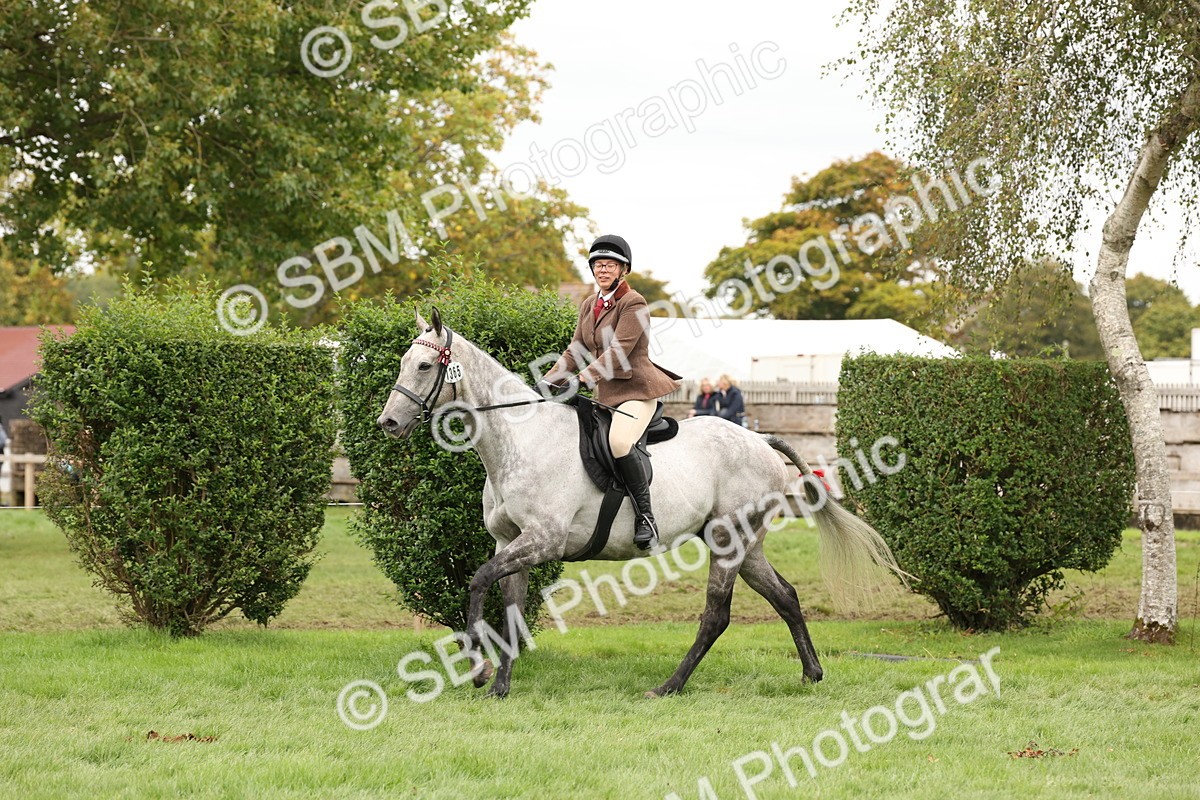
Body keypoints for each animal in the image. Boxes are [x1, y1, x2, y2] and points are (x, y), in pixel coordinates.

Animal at [377, 308, 905, 698]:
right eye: (404, 362)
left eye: (424, 366)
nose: (388, 424)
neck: (520, 439)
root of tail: (759, 440)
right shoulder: (511, 542)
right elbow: (509, 607)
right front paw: (500, 685)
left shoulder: (542, 540)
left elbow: (477, 581)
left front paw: (479, 669)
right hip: (747, 545)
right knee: (786, 596)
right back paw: (811, 673)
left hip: (727, 540)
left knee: (717, 616)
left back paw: (669, 686)